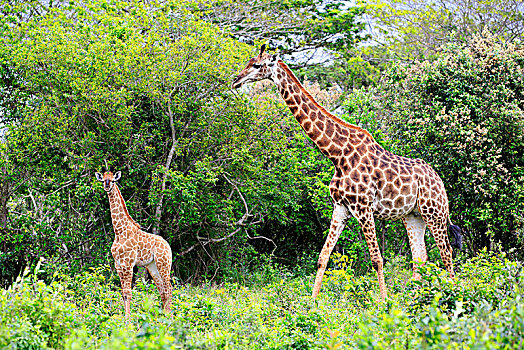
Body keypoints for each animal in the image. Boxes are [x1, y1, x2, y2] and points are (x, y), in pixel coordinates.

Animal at [95, 170, 173, 320]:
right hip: (152, 266)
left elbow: (128, 293)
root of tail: (168, 246)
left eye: (113, 180)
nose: (107, 186)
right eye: (103, 180)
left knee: (169, 288)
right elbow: (123, 293)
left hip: (164, 263)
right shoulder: (118, 264)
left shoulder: (128, 263)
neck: (119, 231)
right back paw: (163, 317)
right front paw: (125, 318)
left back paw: (171, 318)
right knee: (162, 290)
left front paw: (128, 320)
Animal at [231, 44, 460, 300]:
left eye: (258, 65)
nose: (236, 80)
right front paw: (312, 303)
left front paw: (384, 302)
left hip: (435, 213)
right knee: (420, 257)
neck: (337, 155)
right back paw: (418, 297)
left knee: (446, 252)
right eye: (249, 61)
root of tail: (440, 181)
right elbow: (323, 257)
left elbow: (377, 259)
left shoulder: (364, 208)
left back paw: (452, 293)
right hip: (413, 216)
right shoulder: (340, 207)